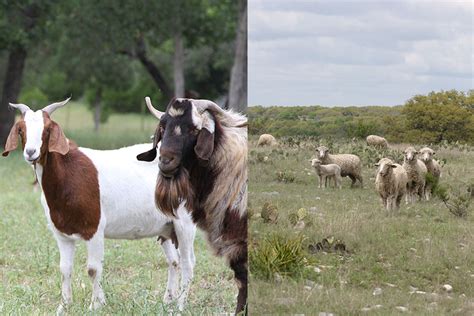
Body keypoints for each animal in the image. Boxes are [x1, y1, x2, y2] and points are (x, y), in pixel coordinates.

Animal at [1, 100, 196, 312]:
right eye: (21, 129)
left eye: (47, 130)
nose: (30, 152)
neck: (68, 173)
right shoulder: (61, 234)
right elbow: (64, 269)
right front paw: (64, 306)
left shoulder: (94, 228)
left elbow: (93, 269)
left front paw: (95, 305)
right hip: (166, 227)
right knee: (174, 261)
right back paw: (168, 300)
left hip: (185, 223)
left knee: (188, 262)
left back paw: (180, 306)